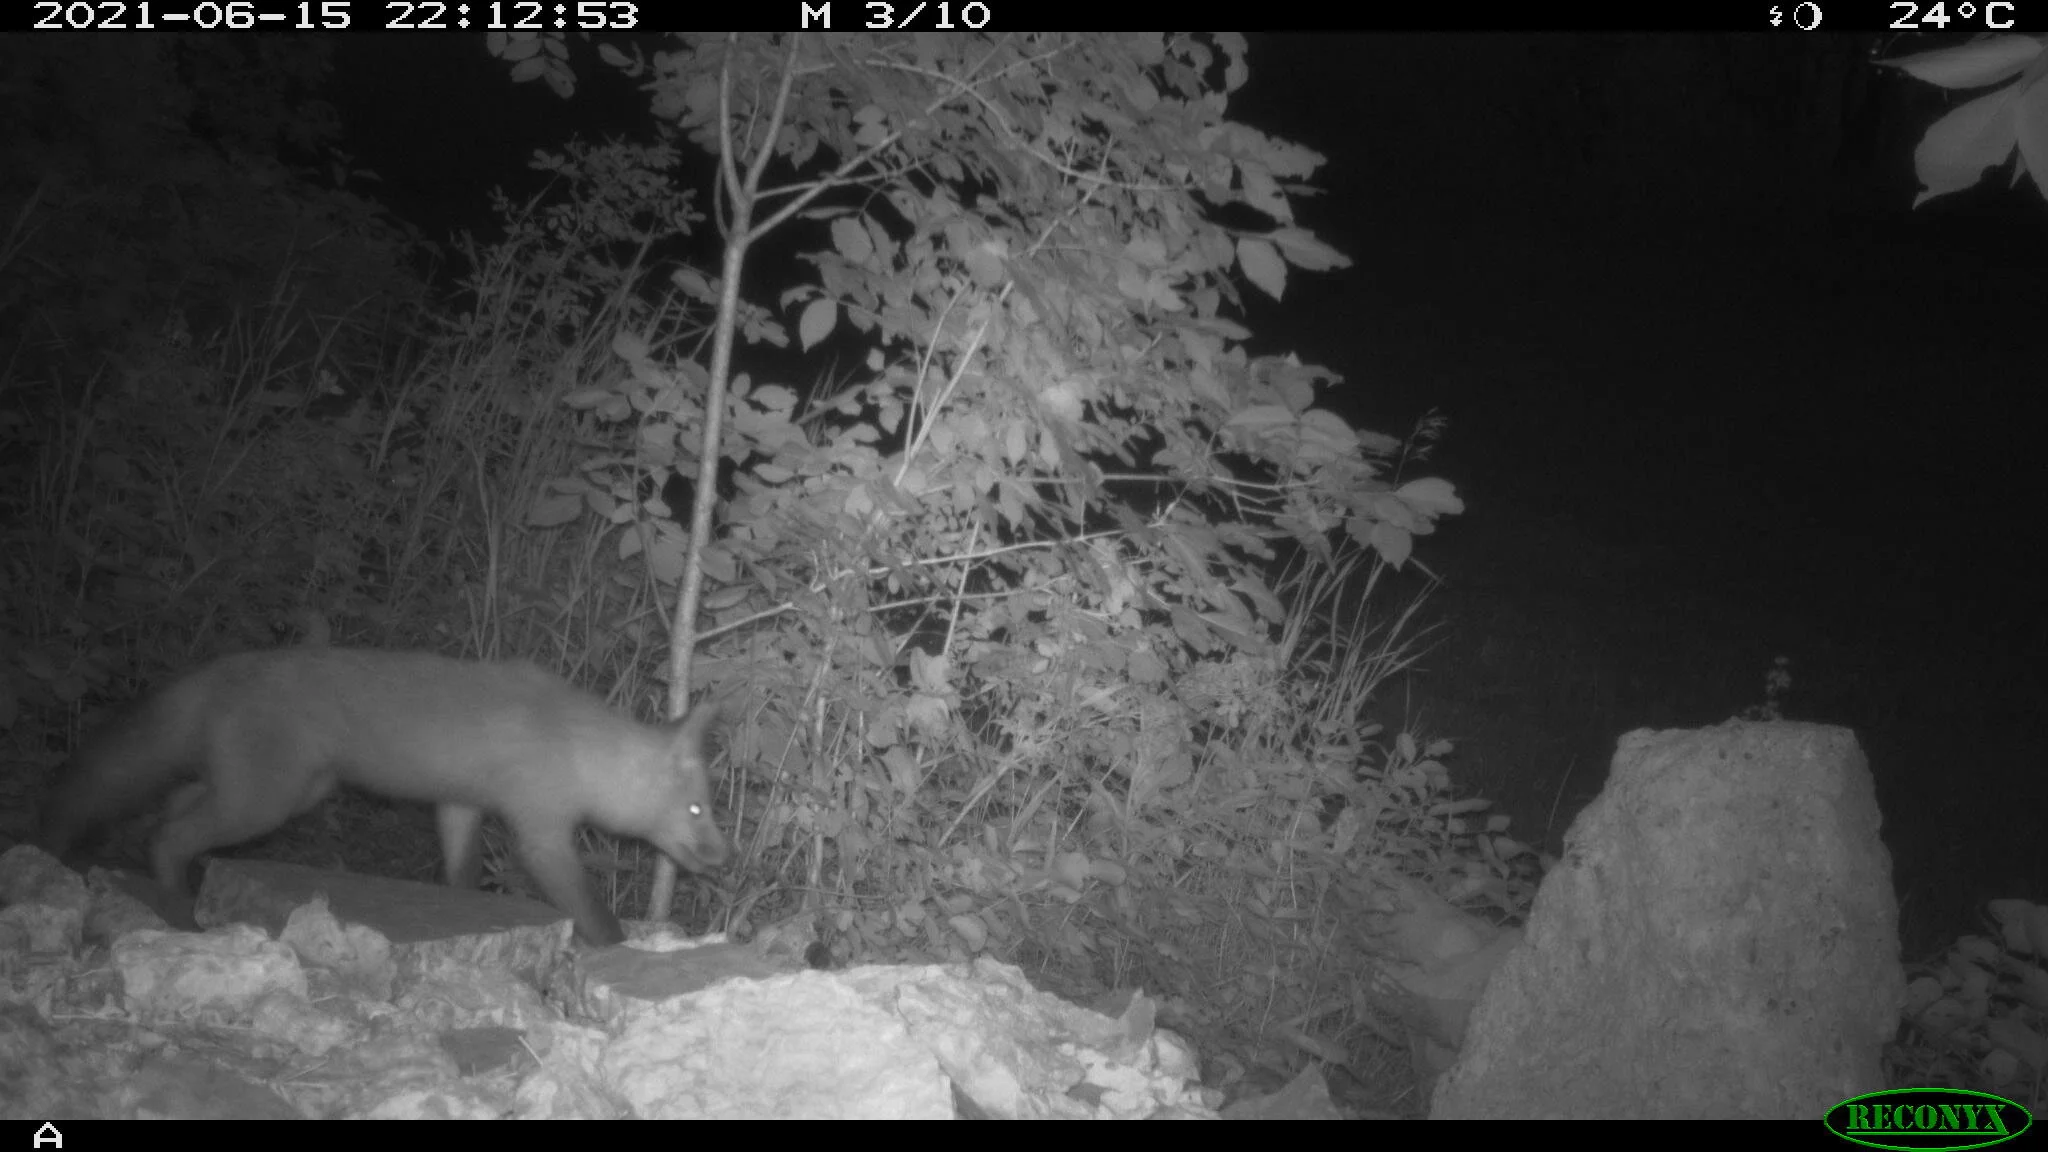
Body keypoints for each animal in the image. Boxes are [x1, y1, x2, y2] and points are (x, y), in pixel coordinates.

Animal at [37, 648, 731, 947]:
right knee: (166, 834)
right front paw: (617, 950)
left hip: (272, 790)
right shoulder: (540, 835)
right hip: (263, 801)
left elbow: (460, 877)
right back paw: (179, 911)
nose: (725, 861)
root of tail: (221, 668)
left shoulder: (459, 806)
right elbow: (594, 917)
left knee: (168, 808)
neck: (572, 743)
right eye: (698, 810)